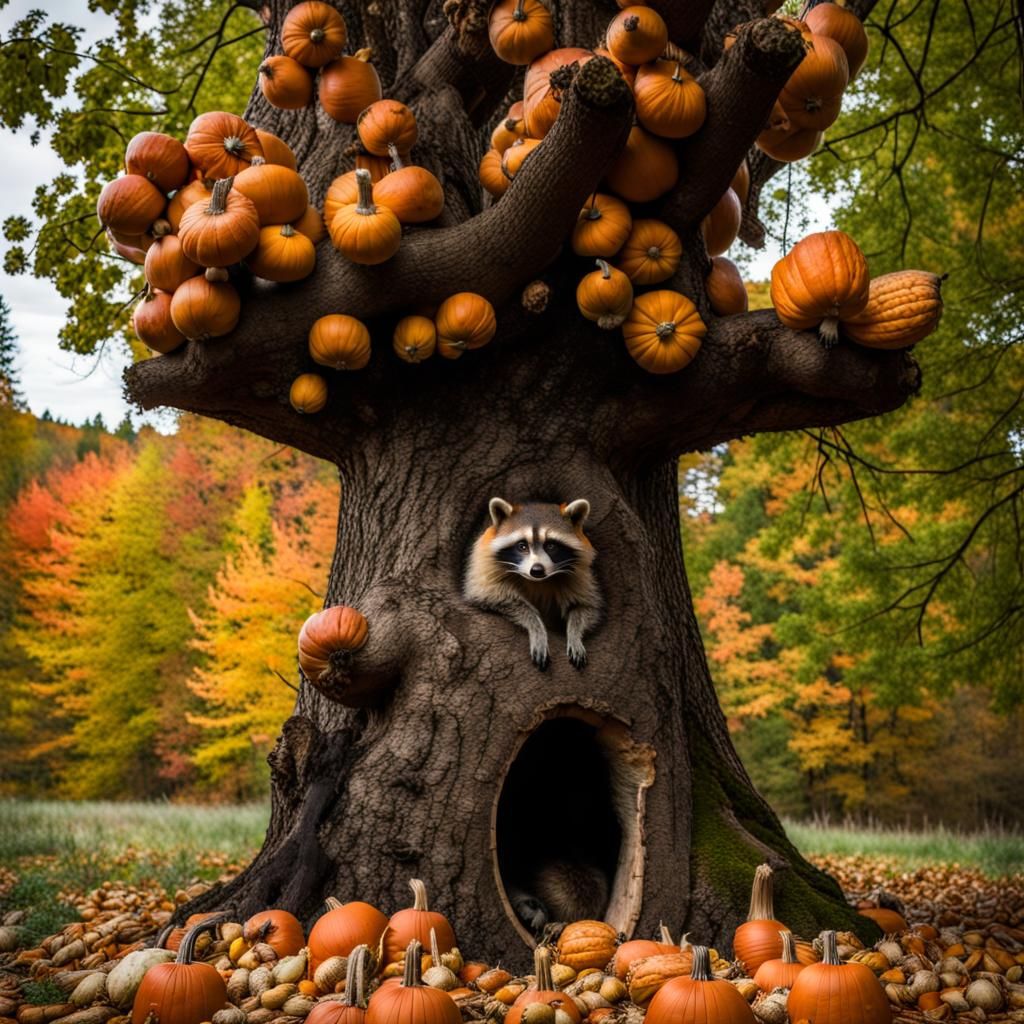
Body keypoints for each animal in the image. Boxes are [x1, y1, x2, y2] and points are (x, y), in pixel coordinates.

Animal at [464, 497, 601, 670]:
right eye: (522, 546)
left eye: (551, 546)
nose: (537, 570)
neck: (537, 581)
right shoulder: (485, 566)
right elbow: (491, 596)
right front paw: (536, 627)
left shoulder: (579, 574)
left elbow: (585, 606)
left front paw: (575, 634)